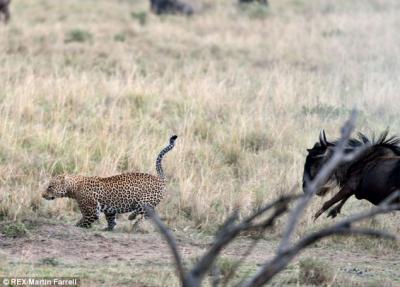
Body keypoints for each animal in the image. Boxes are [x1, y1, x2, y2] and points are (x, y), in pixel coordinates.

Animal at [42, 135, 178, 232]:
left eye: (50, 187)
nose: (42, 195)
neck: (73, 188)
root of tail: (160, 179)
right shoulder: (110, 210)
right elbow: (111, 220)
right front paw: (108, 228)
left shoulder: (91, 212)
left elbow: (82, 222)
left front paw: (76, 226)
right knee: (149, 214)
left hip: (145, 201)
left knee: (146, 213)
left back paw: (134, 222)